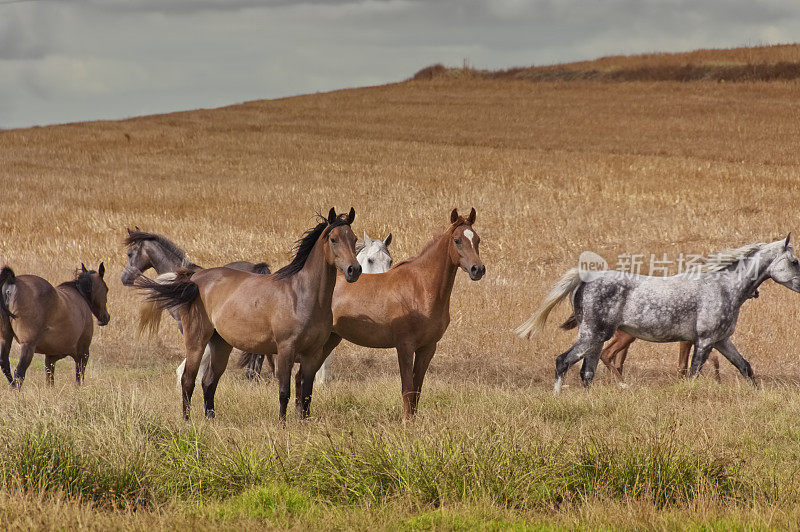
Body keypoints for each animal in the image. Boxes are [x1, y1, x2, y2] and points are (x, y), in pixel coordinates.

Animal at [138, 208, 360, 420]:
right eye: (334, 239)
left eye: (354, 239)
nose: (354, 270)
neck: (302, 296)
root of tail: (195, 278)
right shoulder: (285, 349)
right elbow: (284, 392)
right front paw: (282, 425)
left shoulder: (312, 354)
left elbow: (306, 393)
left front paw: (303, 423)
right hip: (196, 341)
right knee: (188, 380)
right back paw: (187, 421)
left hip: (221, 344)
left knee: (209, 382)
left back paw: (211, 419)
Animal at [320, 208, 488, 420]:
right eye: (457, 240)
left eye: (477, 239)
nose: (478, 269)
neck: (421, 288)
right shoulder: (405, 347)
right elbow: (407, 389)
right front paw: (407, 423)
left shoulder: (427, 348)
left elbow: (417, 390)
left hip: (331, 338)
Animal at [520, 236, 800, 390]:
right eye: (794, 261)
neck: (723, 286)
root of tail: (585, 278)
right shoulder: (705, 341)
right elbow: (693, 373)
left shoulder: (722, 340)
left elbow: (745, 368)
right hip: (592, 335)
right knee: (563, 362)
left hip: (597, 340)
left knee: (587, 373)